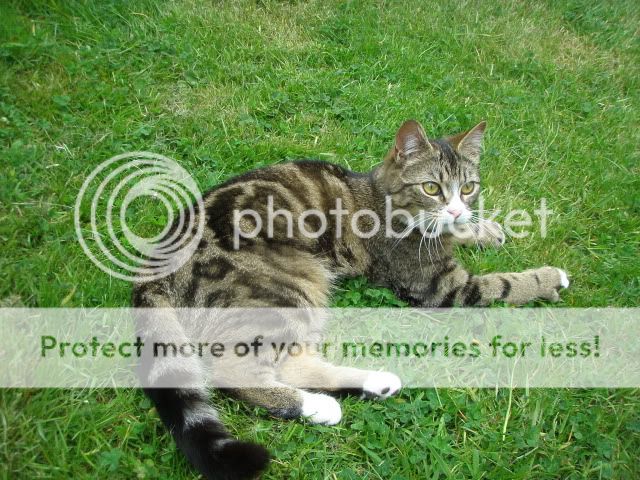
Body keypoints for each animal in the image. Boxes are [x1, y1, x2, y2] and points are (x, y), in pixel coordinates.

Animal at [134, 118, 568, 478]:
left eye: (468, 187)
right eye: (431, 188)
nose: (458, 210)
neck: (383, 197)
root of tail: (155, 261)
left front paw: (483, 228)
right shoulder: (442, 287)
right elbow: (504, 285)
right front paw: (548, 276)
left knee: (294, 362)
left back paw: (374, 383)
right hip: (287, 287)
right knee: (239, 370)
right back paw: (316, 405)